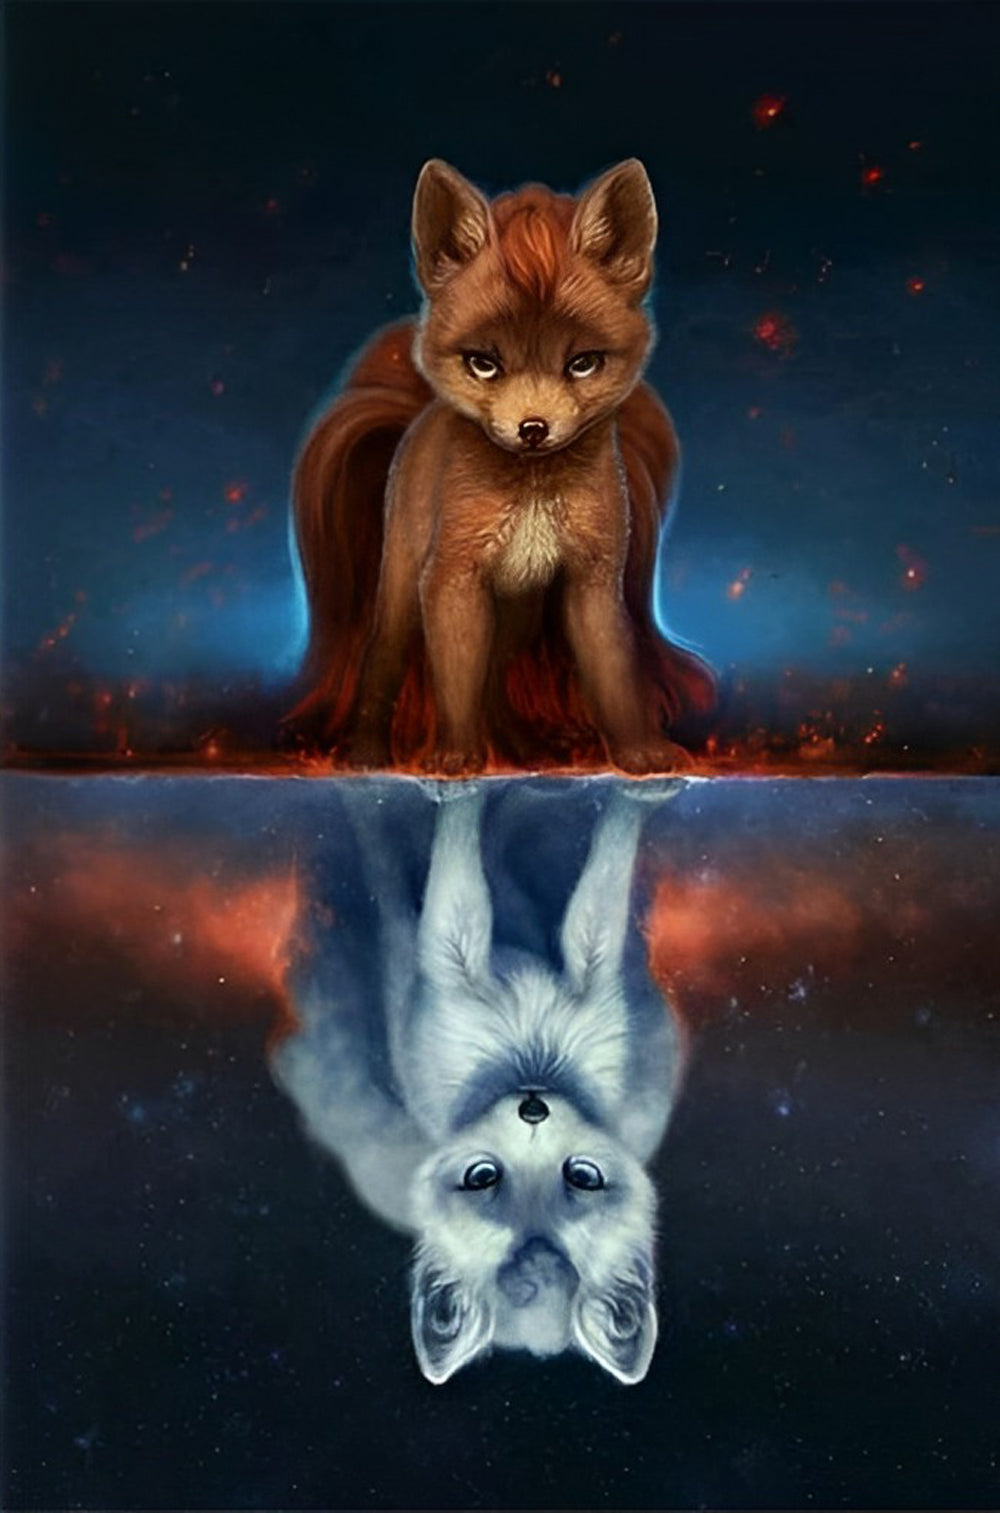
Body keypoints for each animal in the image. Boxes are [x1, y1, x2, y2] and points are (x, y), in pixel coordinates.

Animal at [270, 779, 689, 1385]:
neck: (533, 1058)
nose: (533, 1111)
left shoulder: (573, 989)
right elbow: (476, 894)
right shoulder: (449, 973)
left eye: (582, 1176)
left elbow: (590, 915)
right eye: (482, 1177)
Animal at [289, 158, 715, 774]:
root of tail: (420, 416)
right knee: (384, 663)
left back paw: (522, 748)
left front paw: (640, 751)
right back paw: (368, 751)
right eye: (484, 364)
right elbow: (454, 680)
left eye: (582, 363)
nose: (532, 428)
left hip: (520, 612)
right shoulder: (452, 578)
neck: (532, 489)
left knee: (493, 680)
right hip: (403, 590)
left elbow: (613, 675)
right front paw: (455, 755)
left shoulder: (591, 582)